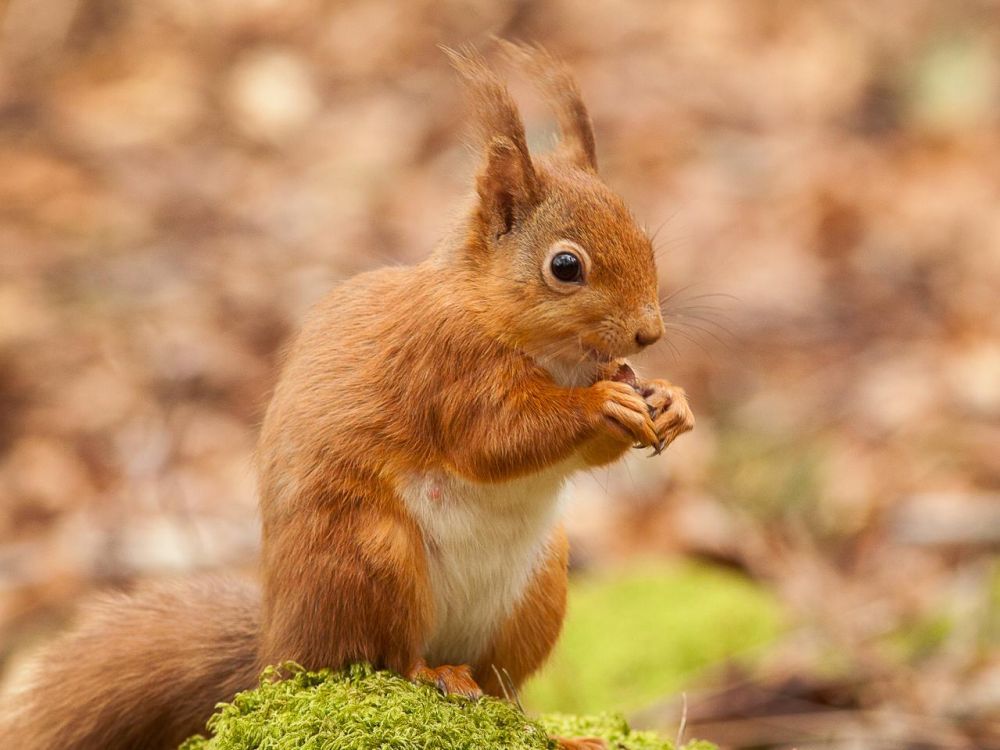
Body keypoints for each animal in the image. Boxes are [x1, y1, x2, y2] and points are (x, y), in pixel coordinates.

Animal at [5, 45, 696, 750]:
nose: (649, 333)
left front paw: (670, 400)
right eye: (565, 267)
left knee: (504, 694)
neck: (542, 351)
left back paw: (554, 731)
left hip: (538, 590)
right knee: (387, 658)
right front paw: (602, 407)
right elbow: (495, 439)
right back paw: (433, 673)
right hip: (370, 557)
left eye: (644, 238)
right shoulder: (442, 368)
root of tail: (279, 652)